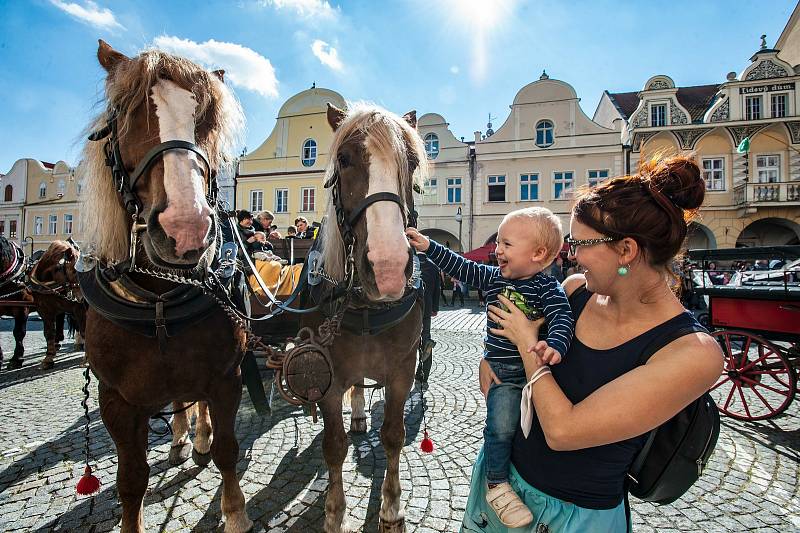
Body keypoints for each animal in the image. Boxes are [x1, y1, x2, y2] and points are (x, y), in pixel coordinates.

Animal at [26, 239, 86, 368]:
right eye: (75, 270)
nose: (84, 298)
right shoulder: (45, 310)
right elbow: (49, 333)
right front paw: (48, 358)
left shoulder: (79, 309)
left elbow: (84, 330)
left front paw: (86, 359)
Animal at [306, 103, 428, 532]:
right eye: (343, 160)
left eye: (411, 163)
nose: (388, 268)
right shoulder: (326, 376)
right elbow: (334, 446)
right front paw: (333, 512)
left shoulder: (403, 370)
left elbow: (393, 435)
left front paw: (391, 508)